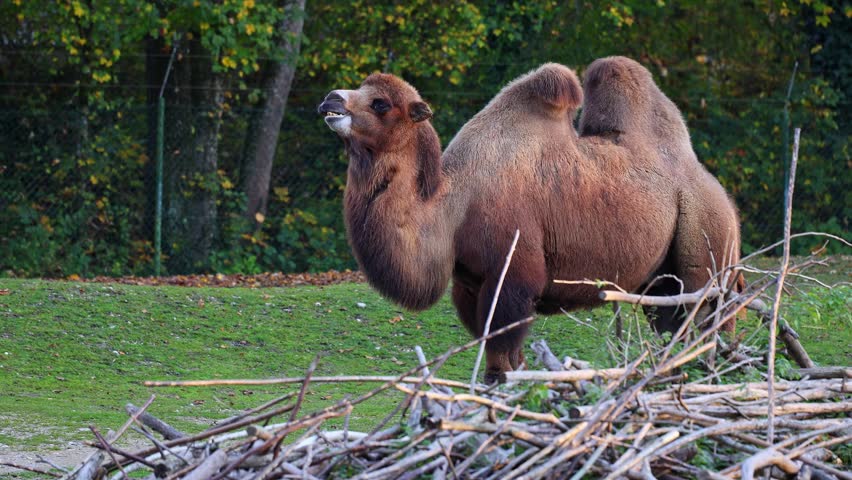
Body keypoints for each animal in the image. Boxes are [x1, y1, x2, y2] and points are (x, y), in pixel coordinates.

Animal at [318, 61, 740, 383]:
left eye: (380, 103)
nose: (330, 99)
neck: (455, 204)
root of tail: (721, 194)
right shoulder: (469, 284)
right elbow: (495, 348)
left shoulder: (514, 274)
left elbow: (504, 349)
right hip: (663, 276)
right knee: (672, 319)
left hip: (707, 238)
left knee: (710, 313)